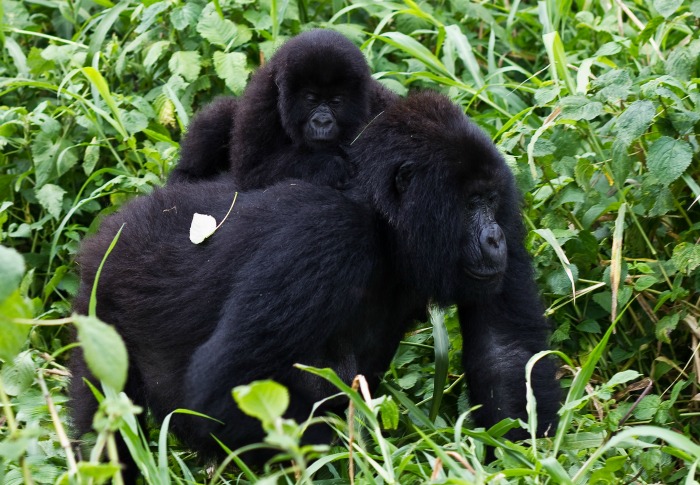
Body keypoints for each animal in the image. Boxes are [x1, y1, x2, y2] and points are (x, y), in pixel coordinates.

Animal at [68, 90, 556, 466]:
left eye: (490, 201)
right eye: (471, 203)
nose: (495, 238)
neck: (382, 220)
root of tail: (114, 227)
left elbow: (506, 351)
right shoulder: (327, 235)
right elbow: (227, 385)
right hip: (101, 304)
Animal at [167, 28, 396, 187]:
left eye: (335, 101)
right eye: (311, 99)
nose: (322, 121)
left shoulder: (379, 102)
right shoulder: (262, 101)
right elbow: (252, 172)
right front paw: (329, 167)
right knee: (221, 113)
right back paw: (185, 175)